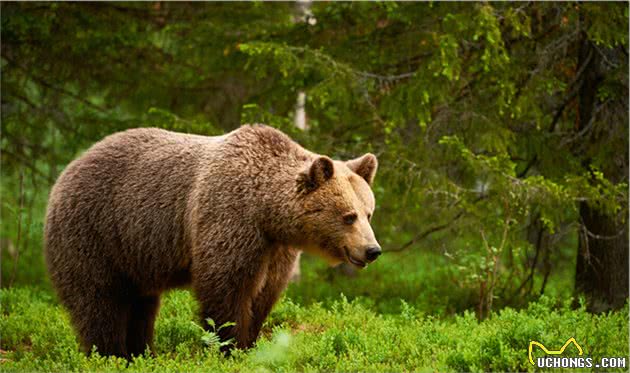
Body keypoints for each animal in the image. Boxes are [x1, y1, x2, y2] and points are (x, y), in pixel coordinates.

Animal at [45, 124, 380, 358]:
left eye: (369, 212)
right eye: (348, 216)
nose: (372, 250)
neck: (266, 212)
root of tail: (69, 168)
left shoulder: (275, 249)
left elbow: (265, 294)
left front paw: (250, 343)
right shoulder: (229, 216)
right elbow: (225, 285)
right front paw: (228, 346)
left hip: (134, 255)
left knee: (141, 303)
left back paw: (142, 353)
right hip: (94, 233)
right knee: (99, 299)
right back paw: (111, 354)